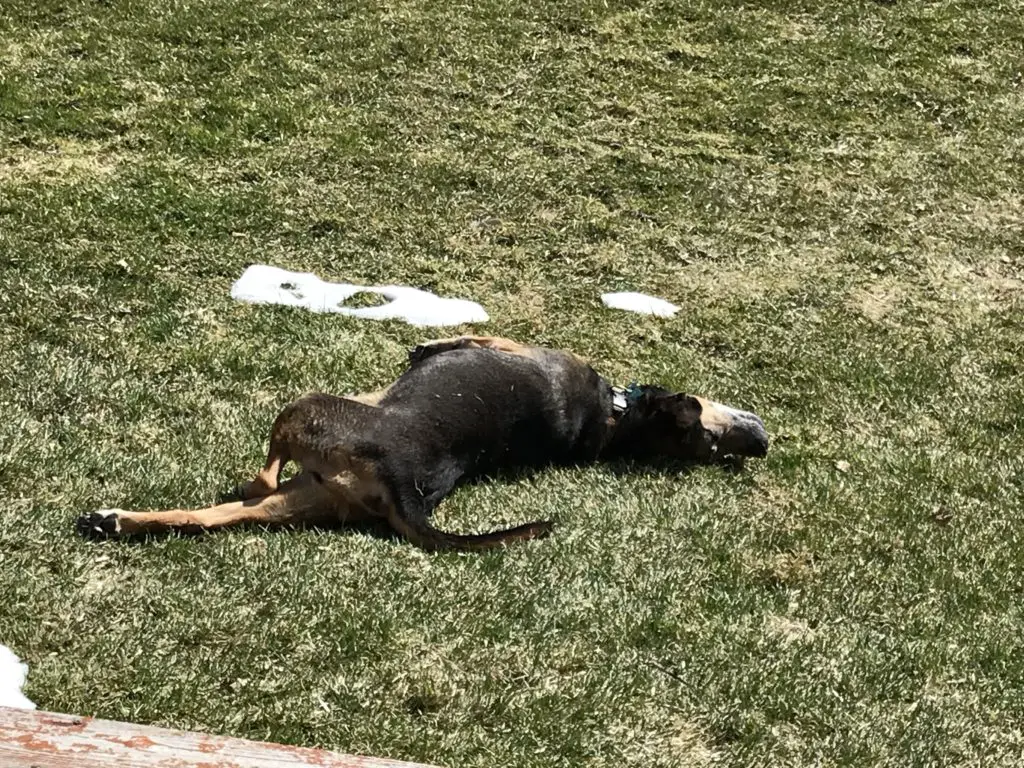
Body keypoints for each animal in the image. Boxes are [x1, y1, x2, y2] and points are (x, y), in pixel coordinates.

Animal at [77, 335, 770, 552]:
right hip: (302, 496)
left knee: (261, 477)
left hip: (304, 410)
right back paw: (113, 521)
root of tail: (405, 485)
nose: (760, 442)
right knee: (201, 516)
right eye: (716, 444)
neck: (611, 418)